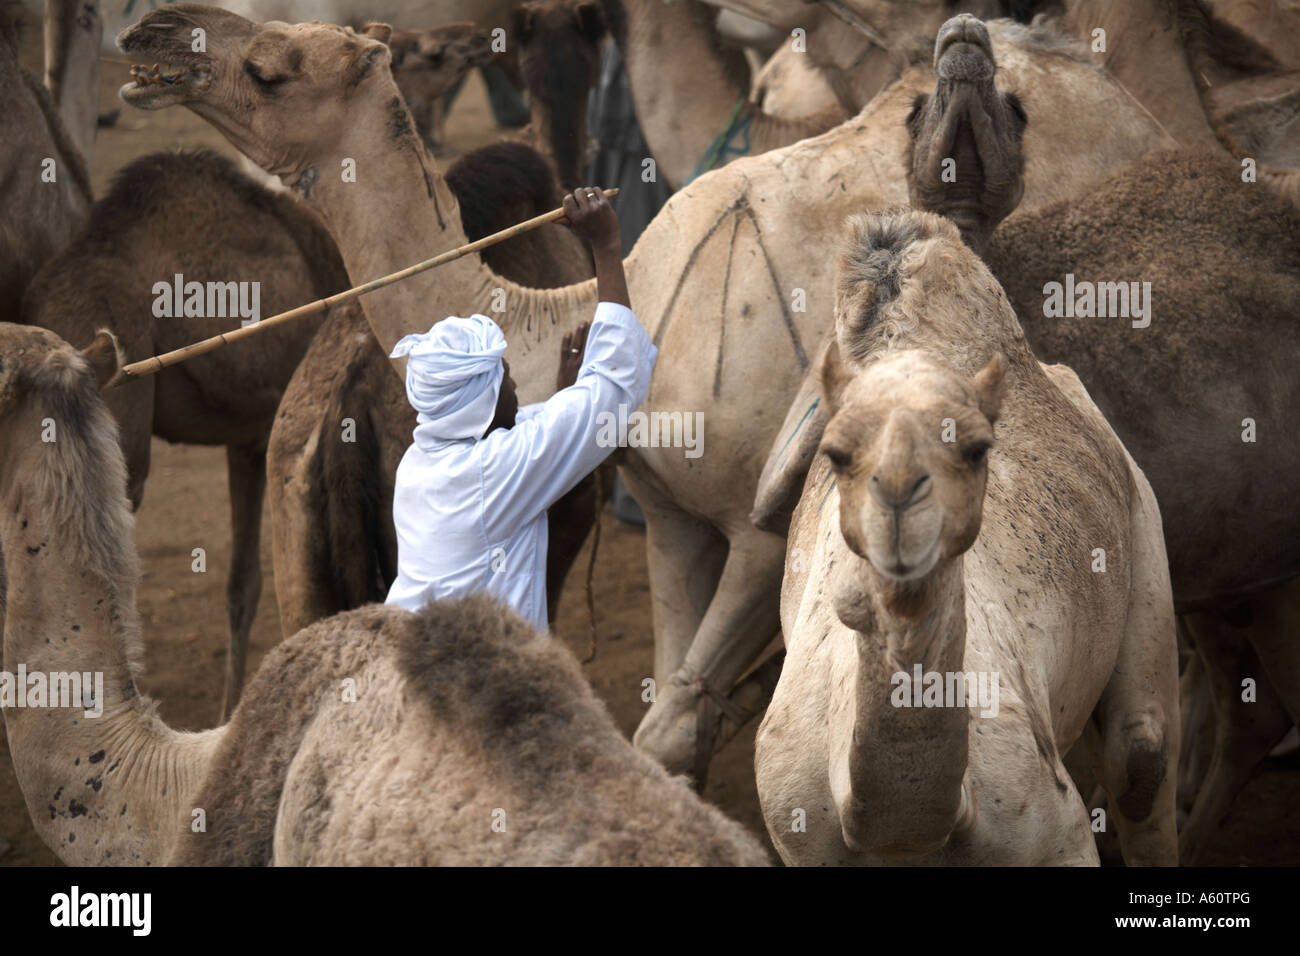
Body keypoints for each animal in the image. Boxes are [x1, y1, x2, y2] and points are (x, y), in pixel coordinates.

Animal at [119, 9, 1180, 785]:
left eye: (271, 66)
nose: (150, 35)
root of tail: (1134, 107)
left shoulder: (760, 530)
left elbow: (670, 727)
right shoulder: (671, 512)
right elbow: (676, 708)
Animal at [759, 209, 1185, 868]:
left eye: (974, 447)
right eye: (837, 453)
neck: (904, 834)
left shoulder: (1052, 832)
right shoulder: (798, 833)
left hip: (1141, 511)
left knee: (1141, 755)